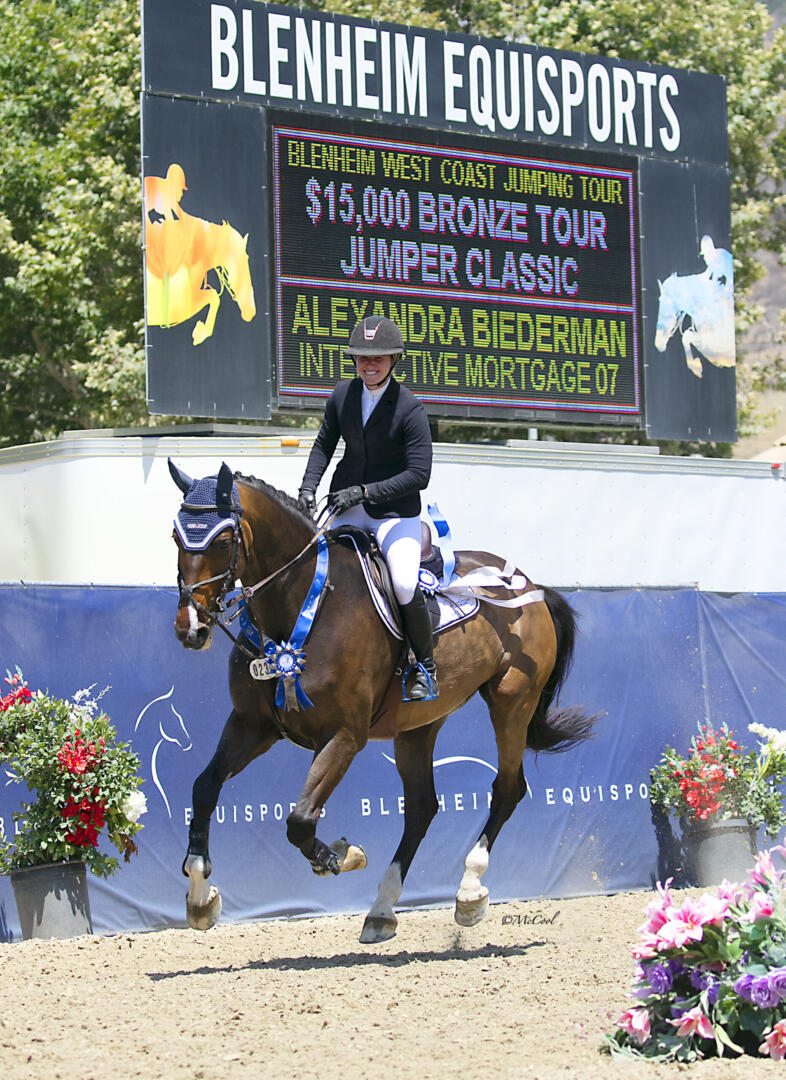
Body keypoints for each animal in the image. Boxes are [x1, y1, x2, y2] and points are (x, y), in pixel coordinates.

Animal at [143, 208, 254, 343]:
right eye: (237, 259)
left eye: (247, 258)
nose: (250, 312)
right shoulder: (178, 308)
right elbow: (212, 296)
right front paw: (200, 333)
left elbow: (213, 297)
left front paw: (200, 332)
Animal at [168, 464, 591, 946]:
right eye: (175, 536)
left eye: (222, 541)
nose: (191, 628)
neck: (299, 609)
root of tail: (529, 584)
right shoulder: (252, 726)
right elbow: (204, 788)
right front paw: (200, 895)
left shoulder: (343, 736)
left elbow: (301, 819)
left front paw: (341, 855)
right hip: (419, 726)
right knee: (423, 807)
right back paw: (382, 910)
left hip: (511, 702)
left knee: (507, 789)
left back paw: (468, 891)